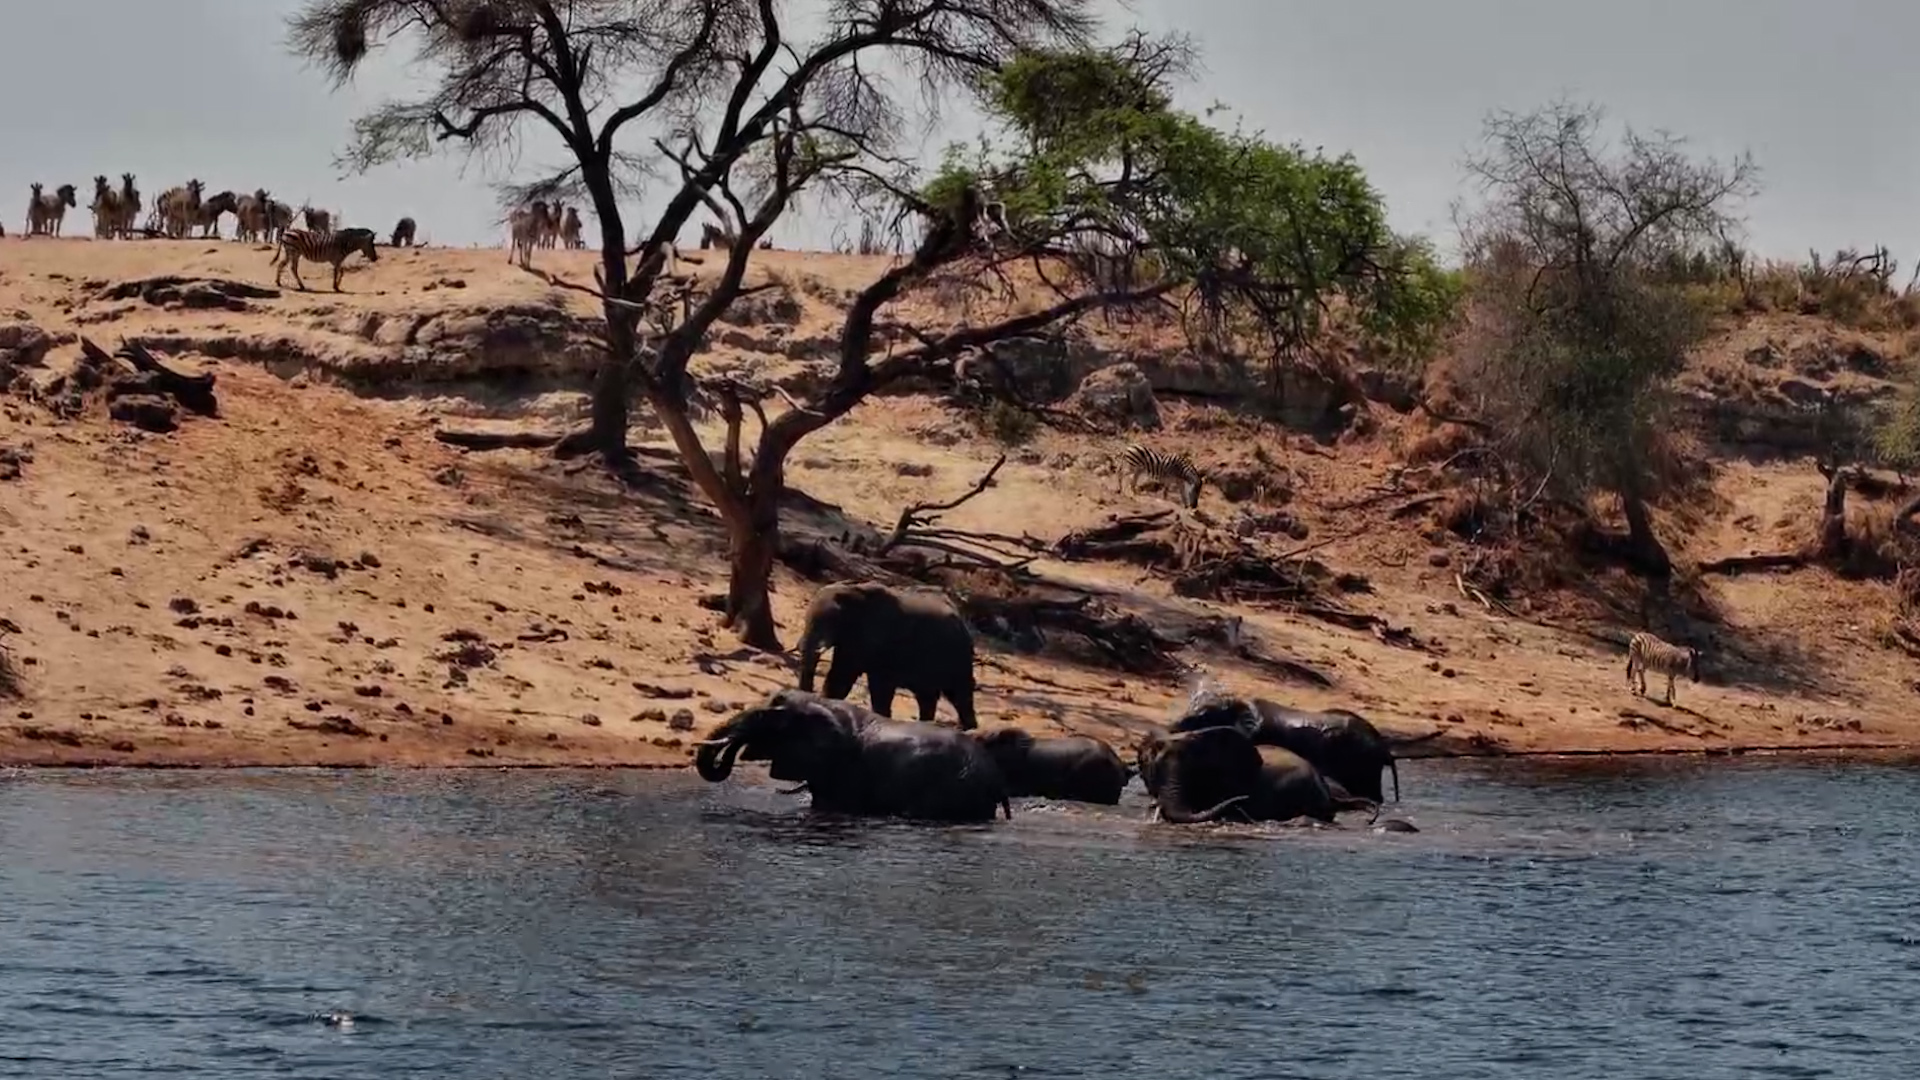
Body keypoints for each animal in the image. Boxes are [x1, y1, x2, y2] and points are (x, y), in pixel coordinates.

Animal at [798, 581, 978, 730]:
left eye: (828, 621)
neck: (852, 592)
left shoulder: (881, 640)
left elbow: (878, 685)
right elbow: (841, 677)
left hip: (957, 654)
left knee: (959, 692)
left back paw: (966, 728)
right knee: (927, 696)